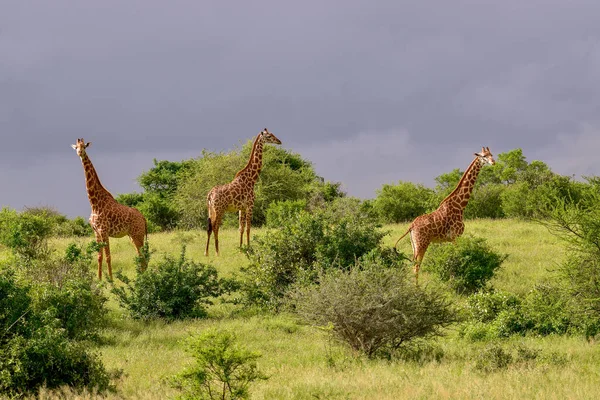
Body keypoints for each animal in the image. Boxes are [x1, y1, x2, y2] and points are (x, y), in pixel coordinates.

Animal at [72, 139, 148, 280]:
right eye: (76, 147)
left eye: (84, 147)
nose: (80, 152)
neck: (94, 203)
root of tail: (143, 217)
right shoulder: (96, 231)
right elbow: (99, 256)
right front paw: (99, 280)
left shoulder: (104, 230)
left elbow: (108, 257)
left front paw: (111, 280)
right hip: (132, 235)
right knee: (140, 255)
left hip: (138, 235)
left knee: (142, 256)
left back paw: (143, 277)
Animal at [205, 130, 282, 258]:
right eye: (269, 136)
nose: (279, 141)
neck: (251, 179)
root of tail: (210, 194)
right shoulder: (250, 205)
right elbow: (248, 228)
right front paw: (249, 249)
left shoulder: (241, 208)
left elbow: (241, 228)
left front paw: (241, 249)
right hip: (219, 210)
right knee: (215, 227)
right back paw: (217, 252)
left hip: (210, 210)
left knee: (209, 227)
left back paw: (206, 253)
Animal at [392, 145, 494, 282]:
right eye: (483, 156)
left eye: (491, 154)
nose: (493, 162)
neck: (460, 206)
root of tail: (410, 227)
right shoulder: (456, 236)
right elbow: (457, 258)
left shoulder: (449, 239)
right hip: (422, 243)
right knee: (416, 266)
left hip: (414, 244)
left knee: (414, 265)